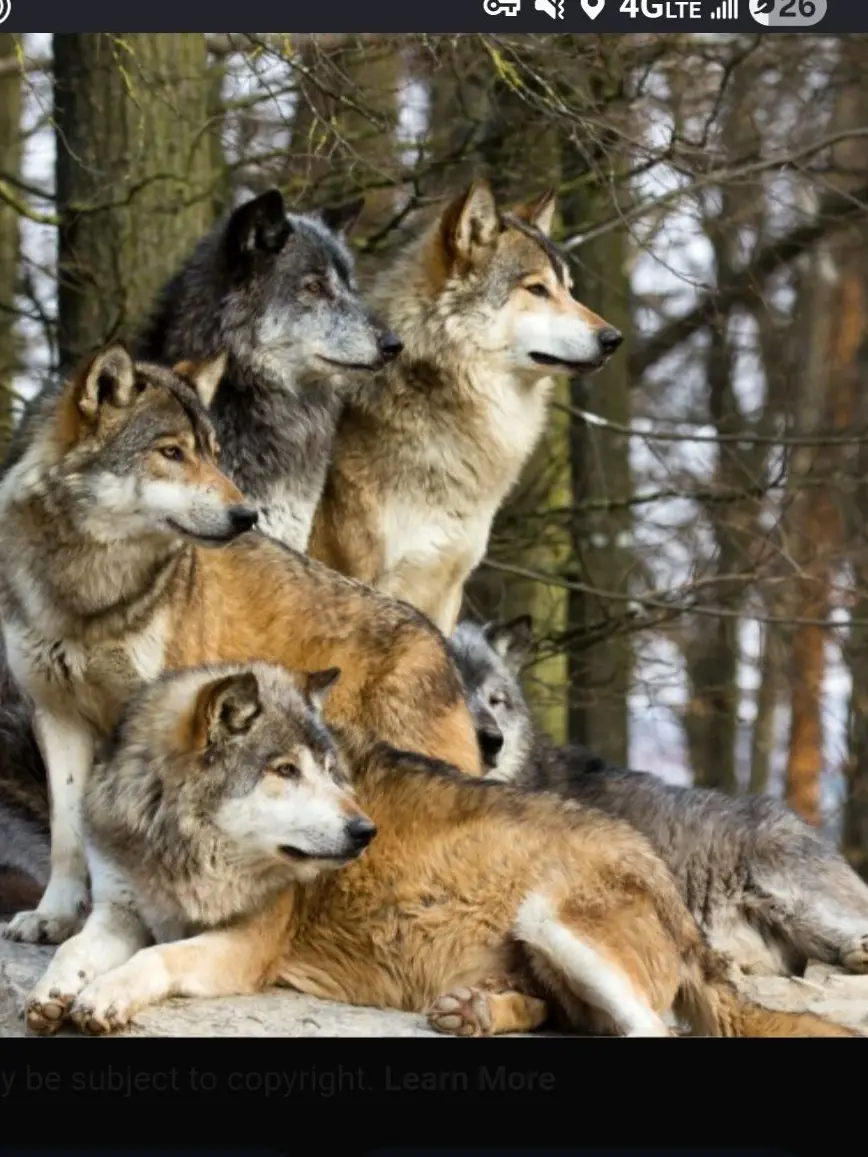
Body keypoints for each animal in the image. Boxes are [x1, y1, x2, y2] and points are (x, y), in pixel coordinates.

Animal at [0, 344, 481, 946]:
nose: (246, 515)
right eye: (171, 453)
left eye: (213, 454)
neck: (88, 592)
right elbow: (67, 837)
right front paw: (55, 917)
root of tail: (439, 642)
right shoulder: (57, 716)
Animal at [25, 660, 853, 1038]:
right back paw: (475, 1010)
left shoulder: (245, 947)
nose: (364, 832)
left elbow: (157, 958)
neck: (178, 846)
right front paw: (54, 992)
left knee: (651, 1031)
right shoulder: (119, 908)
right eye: (284, 771)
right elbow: (75, 948)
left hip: (554, 920)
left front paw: (103, 997)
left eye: (331, 770)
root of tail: (669, 883)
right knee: (573, 1020)